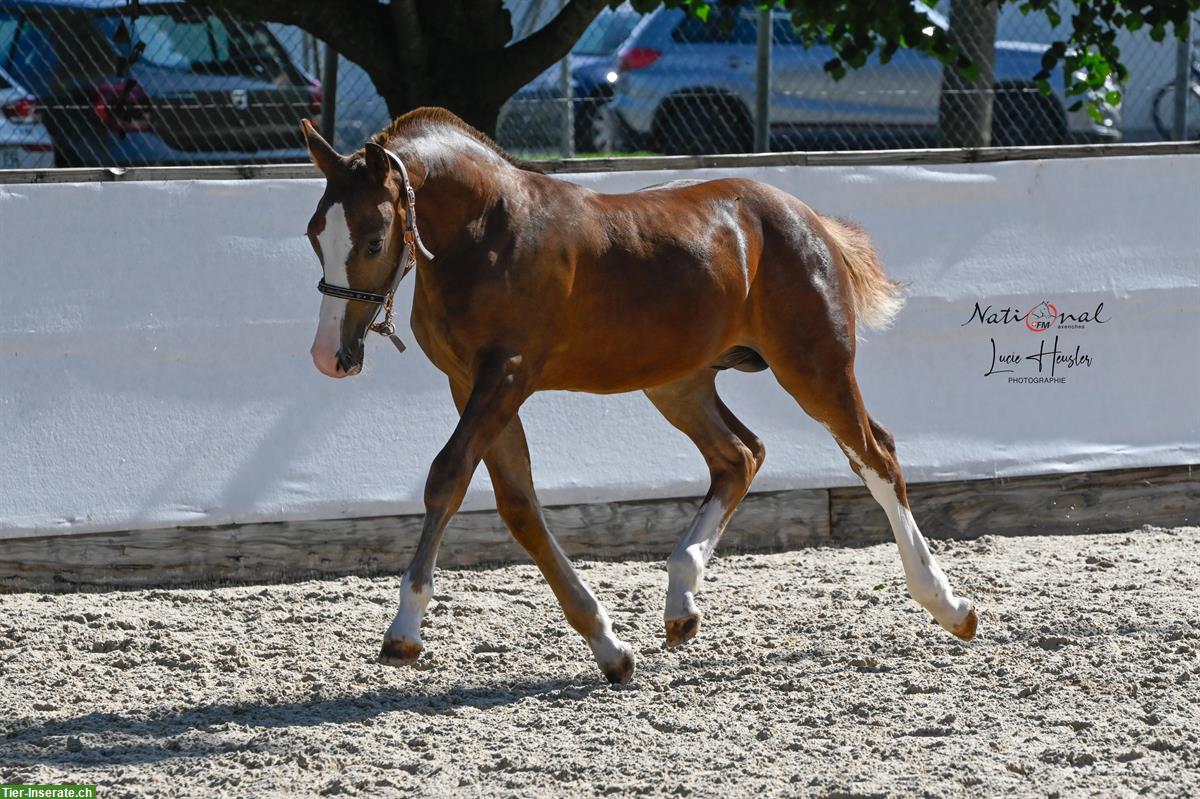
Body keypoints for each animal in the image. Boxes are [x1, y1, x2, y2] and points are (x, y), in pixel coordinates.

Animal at [300, 109, 974, 681]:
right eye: (313, 234)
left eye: (373, 238)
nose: (330, 357)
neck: (488, 233)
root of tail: (810, 220)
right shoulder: (470, 383)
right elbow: (519, 505)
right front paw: (610, 648)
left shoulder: (507, 376)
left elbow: (448, 476)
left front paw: (404, 631)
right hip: (676, 382)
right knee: (741, 455)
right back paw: (681, 603)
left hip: (814, 364)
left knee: (874, 456)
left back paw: (949, 607)